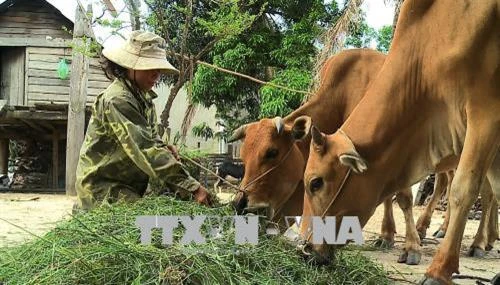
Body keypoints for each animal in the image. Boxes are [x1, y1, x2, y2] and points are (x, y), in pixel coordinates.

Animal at [300, 1, 500, 282]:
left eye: (315, 183)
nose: (305, 249)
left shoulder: (486, 113)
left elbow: (463, 190)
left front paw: (437, 269)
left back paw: (479, 242)